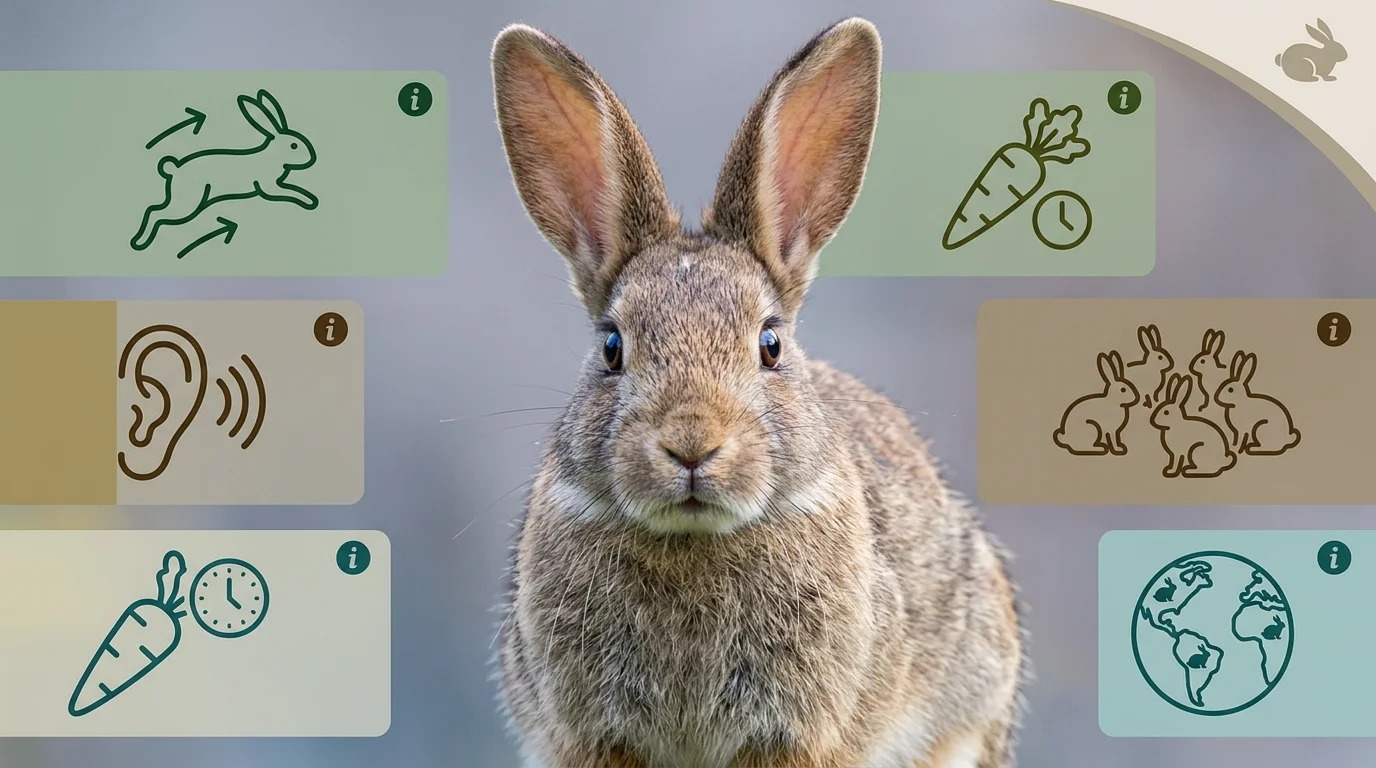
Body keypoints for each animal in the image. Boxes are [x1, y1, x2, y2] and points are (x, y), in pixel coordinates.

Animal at [131, 89, 318, 251]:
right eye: (294, 146)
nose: (310, 158)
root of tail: (175, 170)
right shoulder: (268, 187)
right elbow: (289, 192)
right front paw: (308, 200)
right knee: (156, 213)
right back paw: (140, 241)